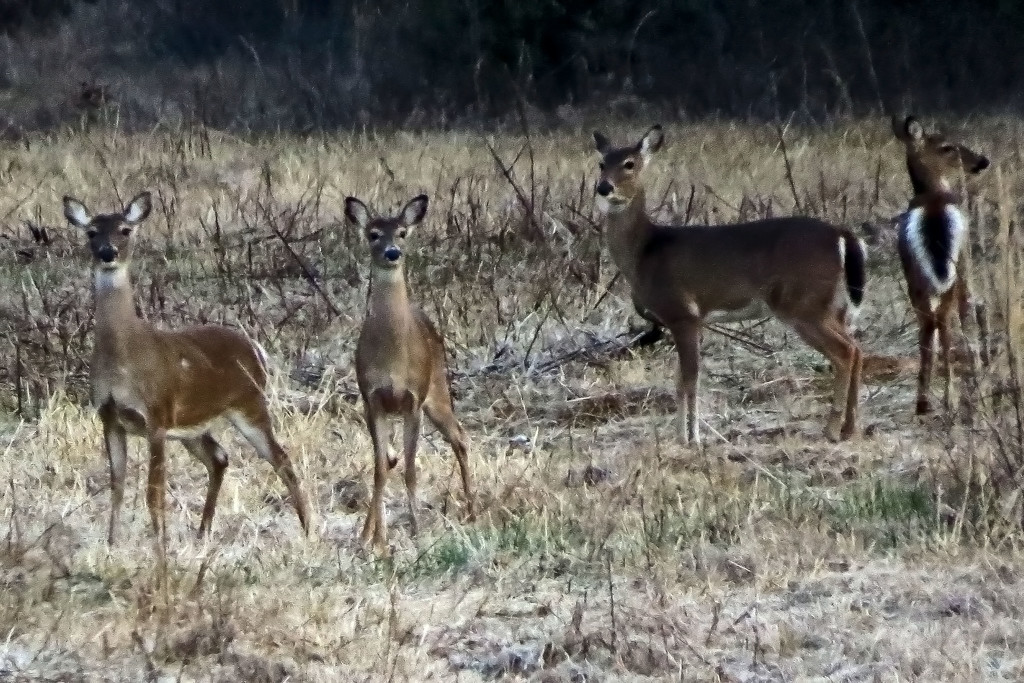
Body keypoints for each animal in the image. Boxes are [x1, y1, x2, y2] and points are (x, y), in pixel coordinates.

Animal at [62, 189, 309, 548]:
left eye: (125, 229)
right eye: (91, 232)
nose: (108, 253)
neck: (124, 358)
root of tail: (256, 348)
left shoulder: (156, 415)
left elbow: (153, 492)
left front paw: (159, 545)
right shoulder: (109, 417)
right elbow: (117, 486)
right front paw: (111, 544)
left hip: (250, 404)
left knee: (281, 458)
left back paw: (308, 530)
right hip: (193, 425)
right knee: (219, 457)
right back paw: (203, 533)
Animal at [342, 193, 473, 557]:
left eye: (402, 232)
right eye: (373, 234)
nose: (392, 252)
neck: (392, 356)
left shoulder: (414, 399)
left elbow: (412, 470)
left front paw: (416, 532)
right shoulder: (371, 399)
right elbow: (379, 470)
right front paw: (379, 542)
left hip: (438, 388)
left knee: (460, 437)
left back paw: (473, 510)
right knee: (389, 460)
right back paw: (366, 534)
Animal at [593, 124, 864, 444]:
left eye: (630, 164)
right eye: (602, 163)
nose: (603, 187)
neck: (646, 251)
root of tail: (842, 235)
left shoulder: (684, 313)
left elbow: (691, 378)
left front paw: (692, 438)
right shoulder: (683, 320)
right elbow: (679, 380)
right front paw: (681, 435)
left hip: (804, 303)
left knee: (845, 352)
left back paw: (832, 429)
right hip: (833, 305)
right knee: (858, 348)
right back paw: (850, 428)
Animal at [888, 114, 991, 413]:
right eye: (948, 147)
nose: (981, 161)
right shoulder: (966, 265)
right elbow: (968, 311)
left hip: (915, 277)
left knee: (927, 326)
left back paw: (923, 401)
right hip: (954, 271)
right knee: (945, 321)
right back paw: (951, 397)